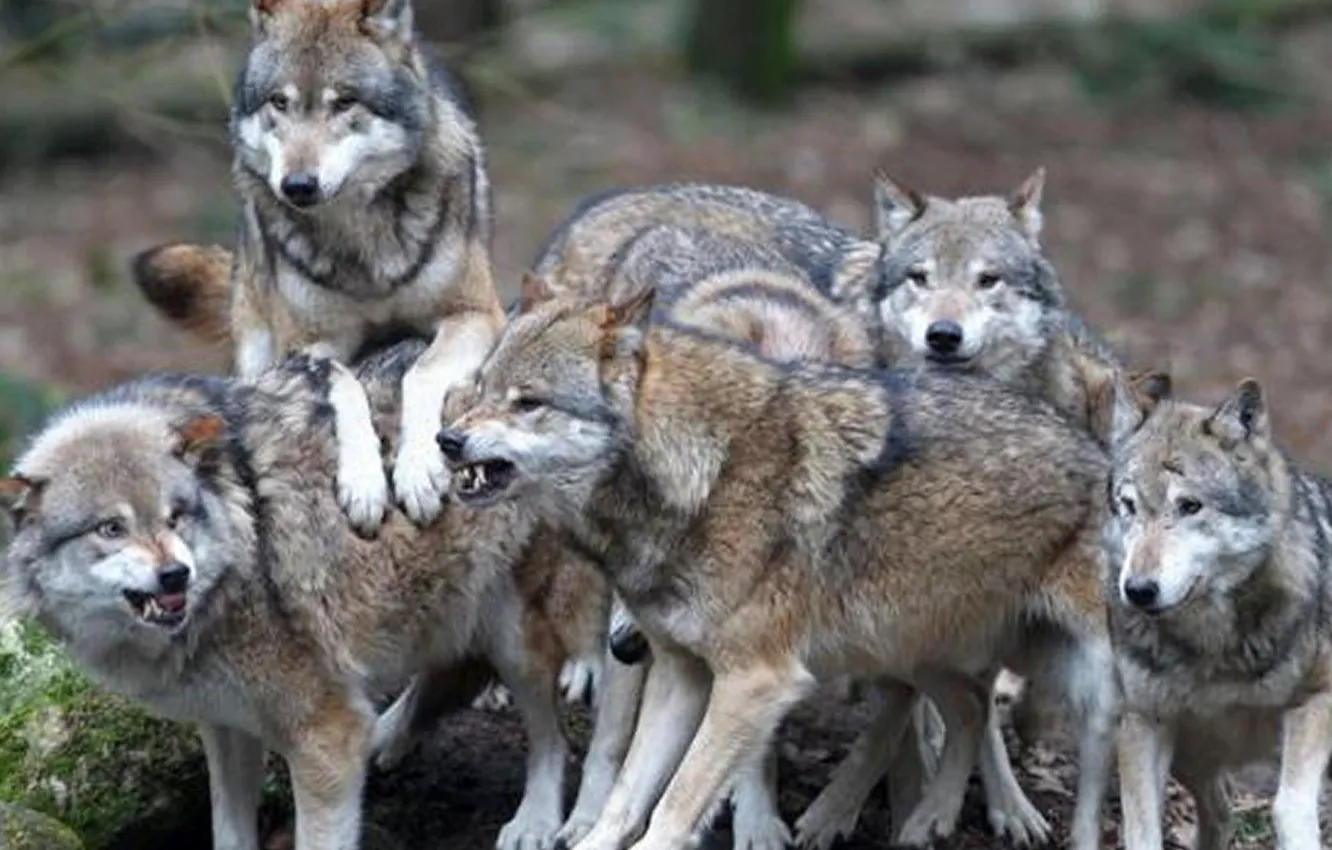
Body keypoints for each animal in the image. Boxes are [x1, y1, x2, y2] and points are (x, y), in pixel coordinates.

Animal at [0, 339, 606, 850]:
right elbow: (229, 834)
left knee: (550, 732)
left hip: (515, 632)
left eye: (176, 516)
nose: (176, 575)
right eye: (110, 529)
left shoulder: (324, 737)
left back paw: (534, 821)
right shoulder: (226, 726)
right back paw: (390, 739)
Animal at [132, 0, 506, 537]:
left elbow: (422, 373)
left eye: (344, 102)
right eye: (279, 103)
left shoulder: (475, 314)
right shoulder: (304, 346)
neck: (362, 241)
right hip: (258, 351)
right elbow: (343, 386)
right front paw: (365, 485)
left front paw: (418, 470)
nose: (298, 185)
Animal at [1102, 377, 1332, 850]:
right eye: (1128, 505)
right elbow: (1141, 825)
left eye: (1189, 506)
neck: (1212, 645)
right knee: (1221, 815)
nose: (1138, 591)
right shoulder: (1142, 720)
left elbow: (1289, 807)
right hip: (1192, 755)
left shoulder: (1317, 699)